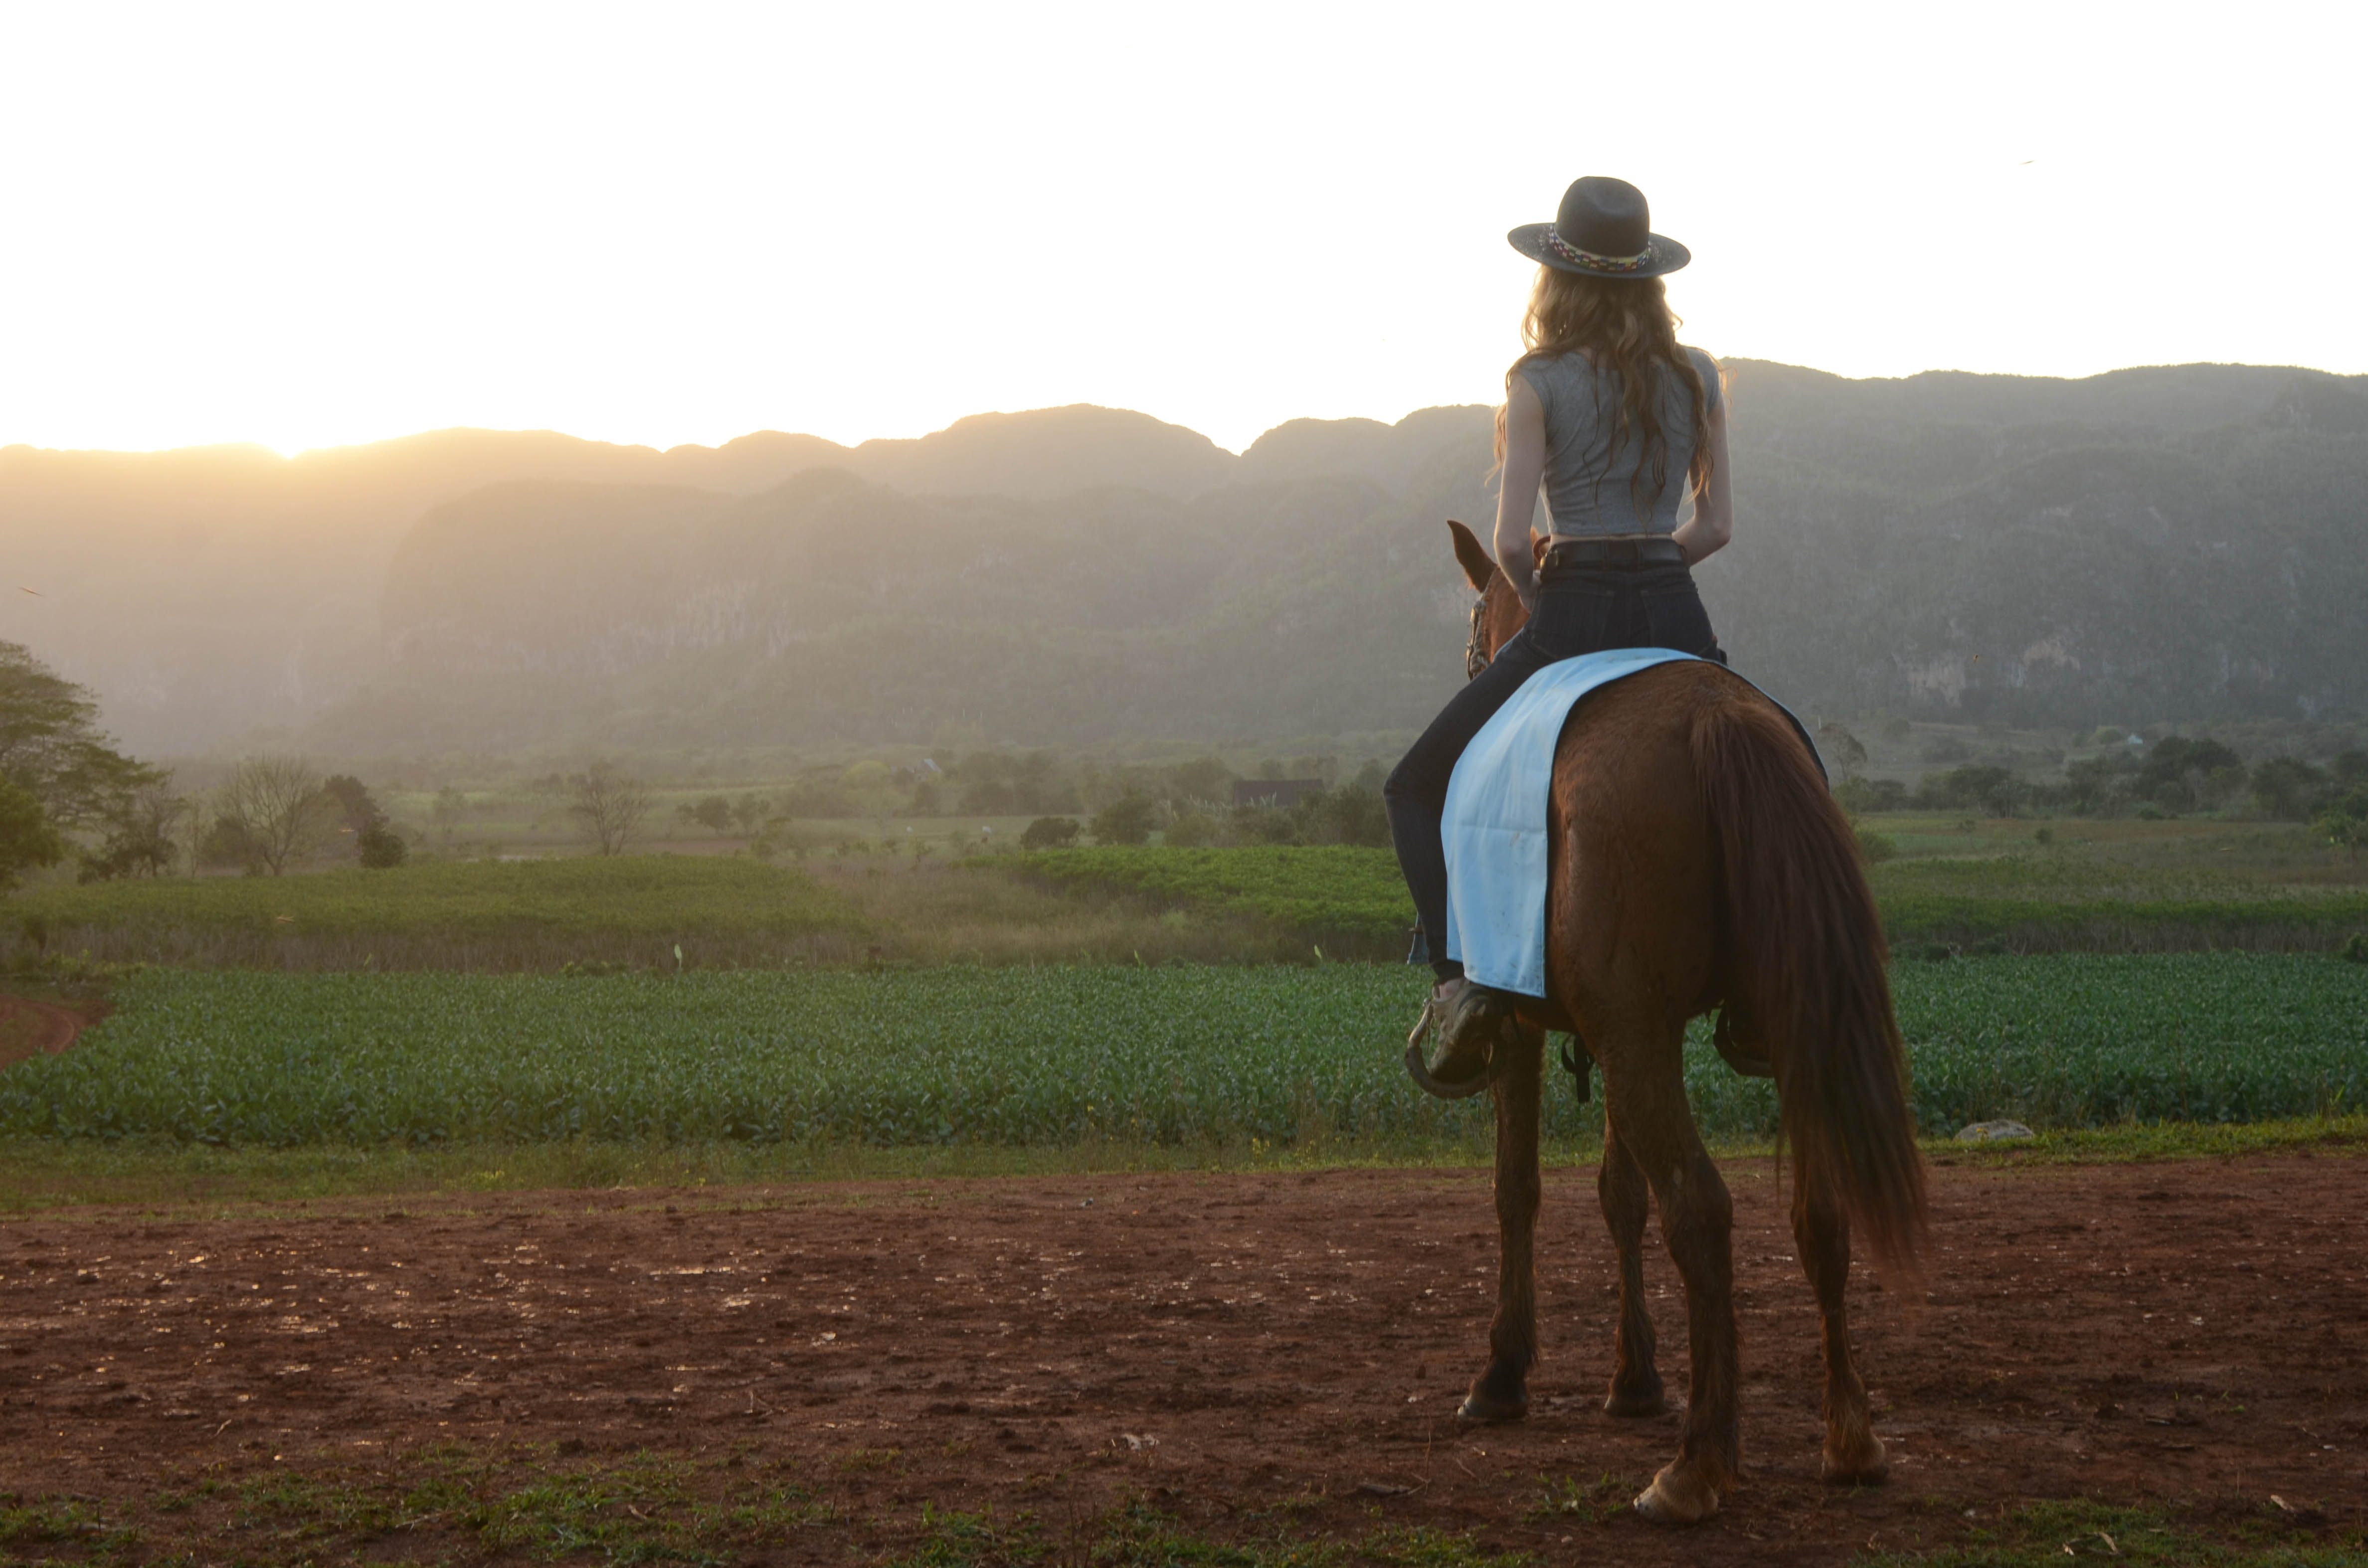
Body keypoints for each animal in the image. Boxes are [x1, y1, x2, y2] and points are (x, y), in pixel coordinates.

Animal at [1411, 521, 1932, 1525]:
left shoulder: (1539, 1024)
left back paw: (1698, 1464)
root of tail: (1714, 717)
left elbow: (1517, 1189)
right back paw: (1849, 1439)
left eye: (1471, 630)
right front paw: (1634, 1379)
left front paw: (1502, 1375)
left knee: (1701, 1207)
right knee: (1817, 1215)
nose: (1471, 664)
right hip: (1763, 1028)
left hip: (1637, 1038)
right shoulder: (1619, 1028)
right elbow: (1620, 1193)